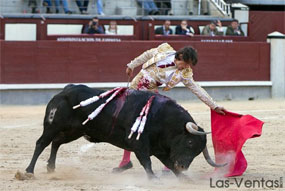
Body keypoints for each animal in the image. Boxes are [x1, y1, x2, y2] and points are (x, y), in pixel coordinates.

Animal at [25, 84, 224, 179]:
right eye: (189, 142)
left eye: (197, 152)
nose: (183, 166)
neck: (164, 120)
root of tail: (64, 91)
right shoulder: (139, 145)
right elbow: (146, 163)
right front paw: (154, 179)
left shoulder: (160, 150)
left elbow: (168, 165)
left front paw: (185, 179)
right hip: (53, 126)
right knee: (41, 143)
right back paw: (29, 171)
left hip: (74, 131)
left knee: (56, 142)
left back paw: (51, 168)